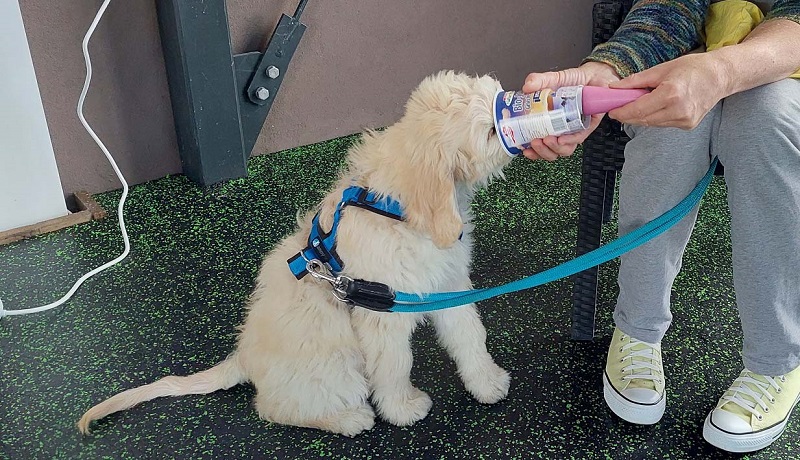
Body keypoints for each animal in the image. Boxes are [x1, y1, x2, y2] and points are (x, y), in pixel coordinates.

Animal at [79, 70, 512, 436]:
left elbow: (470, 335)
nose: (515, 99)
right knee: (274, 408)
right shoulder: (382, 314)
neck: (396, 207)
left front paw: (487, 382)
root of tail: (243, 357)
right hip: (338, 363)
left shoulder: (450, 285)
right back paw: (347, 418)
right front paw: (402, 409)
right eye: (493, 129)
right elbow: (394, 365)